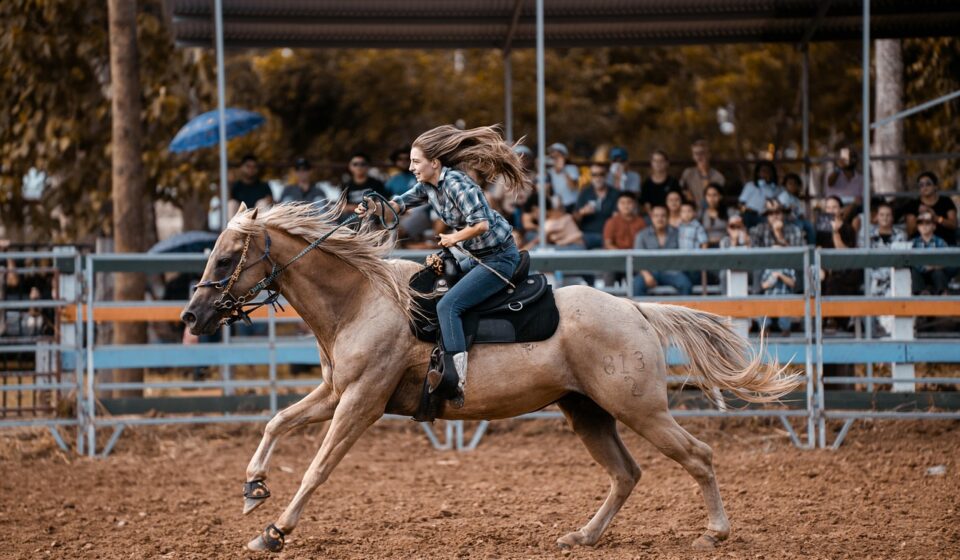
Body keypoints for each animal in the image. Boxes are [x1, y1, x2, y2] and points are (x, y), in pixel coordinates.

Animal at [180, 201, 798, 553]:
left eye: (226, 257)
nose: (192, 316)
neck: (361, 300)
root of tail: (634, 309)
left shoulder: (361, 401)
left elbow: (316, 468)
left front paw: (274, 532)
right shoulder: (335, 391)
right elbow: (276, 423)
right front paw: (253, 490)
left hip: (639, 409)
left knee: (698, 455)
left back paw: (715, 533)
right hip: (587, 411)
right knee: (626, 474)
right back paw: (583, 536)